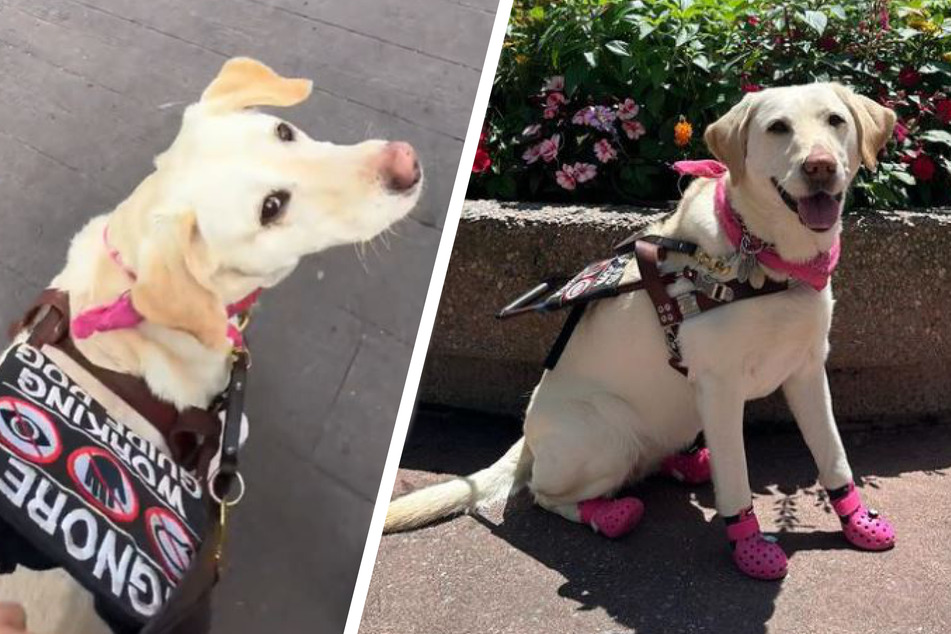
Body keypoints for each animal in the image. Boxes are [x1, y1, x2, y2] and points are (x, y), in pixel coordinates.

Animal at [384, 82, 892, 576]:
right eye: (778, 128)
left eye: (835, 120)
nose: (820, 166)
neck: (764, 259)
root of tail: (527, 438)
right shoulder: (721, 389)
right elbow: (737, 478)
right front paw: (749, 546)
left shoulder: (806, 371)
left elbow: (833, 455)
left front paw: (857, 521)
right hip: (607, 433)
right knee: (545, 494)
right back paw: (610, 515)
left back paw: (686, 465)